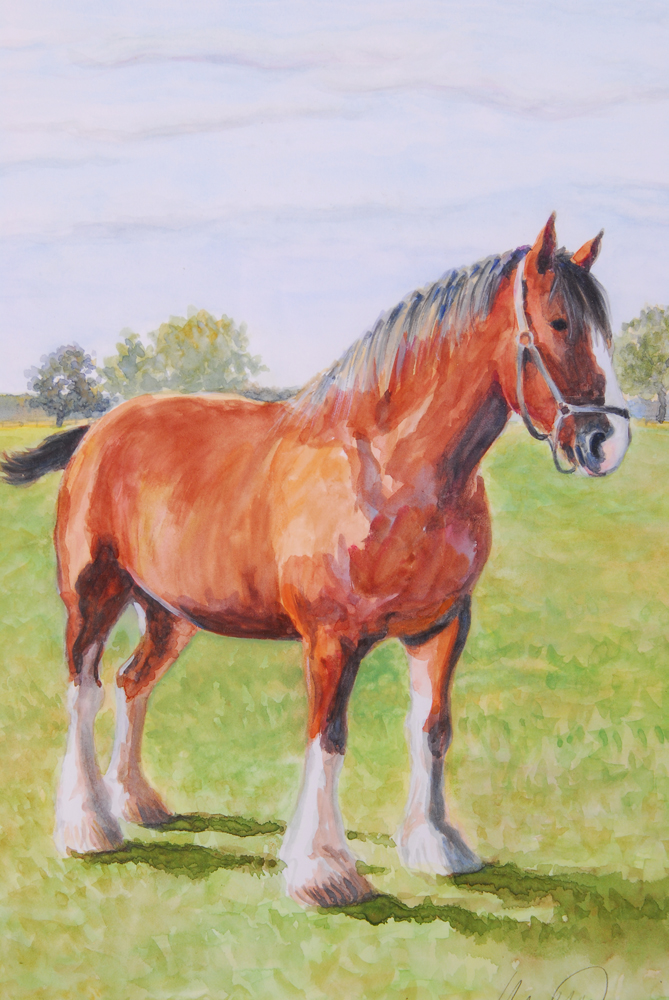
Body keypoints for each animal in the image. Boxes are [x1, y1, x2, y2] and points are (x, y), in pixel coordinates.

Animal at [1, 215, 630, 907]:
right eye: (559, 323)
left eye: (603, 327)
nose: (605, 440)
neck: (389, 468)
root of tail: (99, 429)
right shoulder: (332, 638)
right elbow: (328, 737)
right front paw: (323, 870)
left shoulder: (442, 628)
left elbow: (431, 729)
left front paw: (436, 845)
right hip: (94, 594)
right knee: (83, 689)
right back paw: (88, 824)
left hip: (169, 615)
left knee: (130, 682)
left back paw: (137, 801)